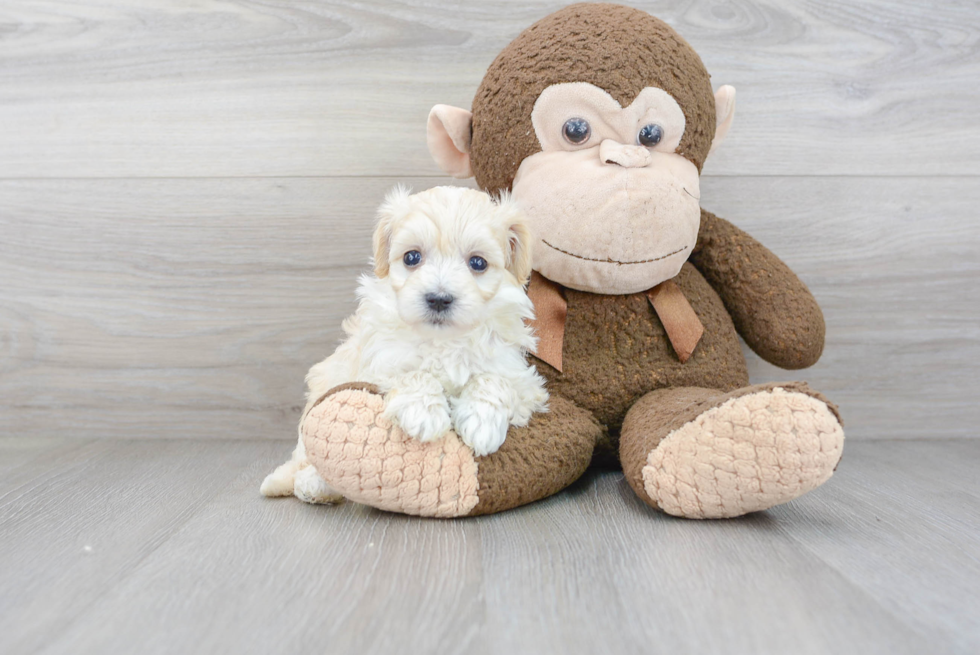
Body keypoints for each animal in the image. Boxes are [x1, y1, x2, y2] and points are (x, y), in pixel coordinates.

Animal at [260, 187, 552, 504]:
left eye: (478, 263)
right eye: (412, 257)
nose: (439, 298)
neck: (443, 340)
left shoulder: (522, 378)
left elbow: (494, 380)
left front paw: (481, 421)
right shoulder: (378, 361)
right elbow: (412, 372)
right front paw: (425, 413)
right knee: (308, 462)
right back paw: (312, 484)